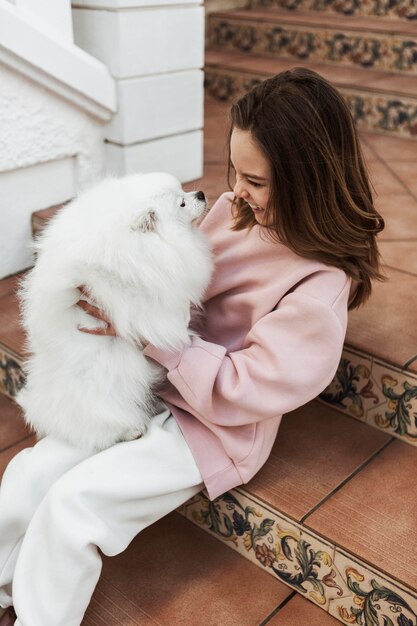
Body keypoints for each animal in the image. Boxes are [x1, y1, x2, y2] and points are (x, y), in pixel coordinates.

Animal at [15, 173, 211, 450]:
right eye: (181, 203)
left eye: (184, 192)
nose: (201, 194)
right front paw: (181, 322)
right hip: (101, 393)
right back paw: (130, 431)